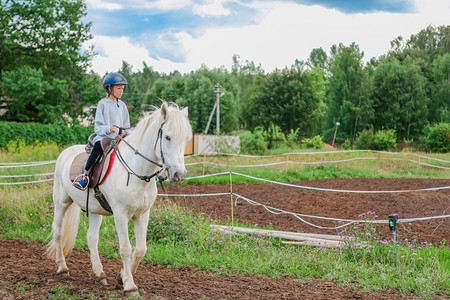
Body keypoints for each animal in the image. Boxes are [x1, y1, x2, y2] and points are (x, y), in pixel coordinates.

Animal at [45, 102, 192, 296]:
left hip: (95, 210)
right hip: (62, 203)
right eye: (167, 137)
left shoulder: (142, 214)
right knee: (59, 232)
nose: (179, 175)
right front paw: (130, 286)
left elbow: (141, 249)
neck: (136, 170)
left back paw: (99, 274)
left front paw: (121, 277)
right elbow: (126, 249)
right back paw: (62, 268)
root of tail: (66, 152)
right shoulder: (120, 214)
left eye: (186, 139)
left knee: (92, 238)